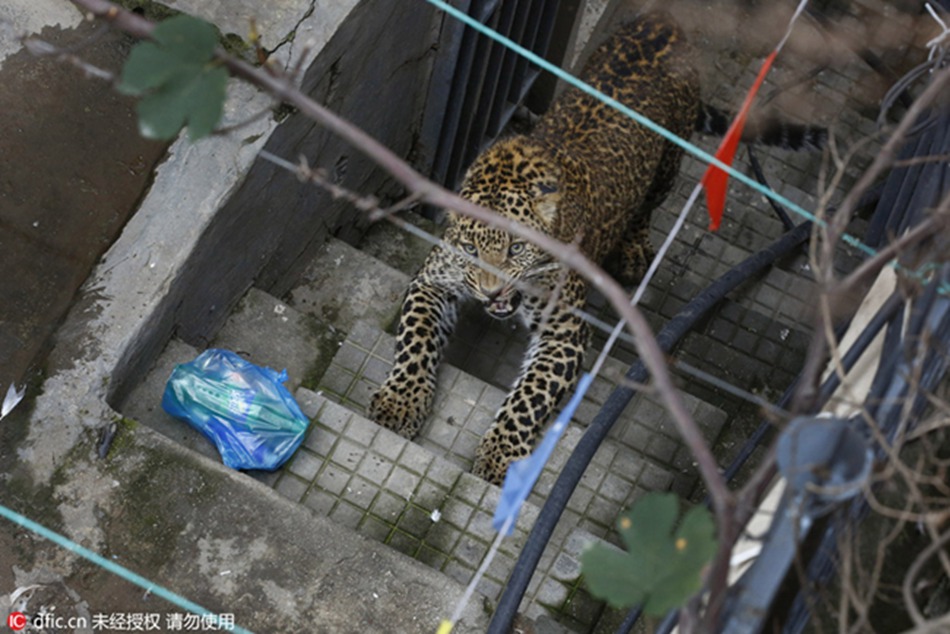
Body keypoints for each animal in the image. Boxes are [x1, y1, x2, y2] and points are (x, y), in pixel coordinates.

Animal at [370, 10, 824, 485]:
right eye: (471, 251)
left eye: (516, 249)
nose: (492, 293)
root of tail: (662, 21)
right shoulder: (432, 281)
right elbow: (416, 341)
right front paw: (402, 400)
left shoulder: (565, 332)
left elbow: (527, 397)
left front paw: (500, 453)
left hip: (667, 164)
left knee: (647, 205)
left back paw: (634, 250)